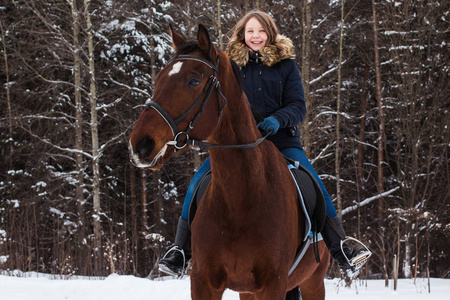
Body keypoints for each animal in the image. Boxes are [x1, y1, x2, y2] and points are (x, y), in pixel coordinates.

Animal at [128, 24, 328, 298]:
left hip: (313, 282)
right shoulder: (203, 282)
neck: (240, 199)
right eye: (158, 79)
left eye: (193, 80)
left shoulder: (273, 284)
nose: (140, 144)